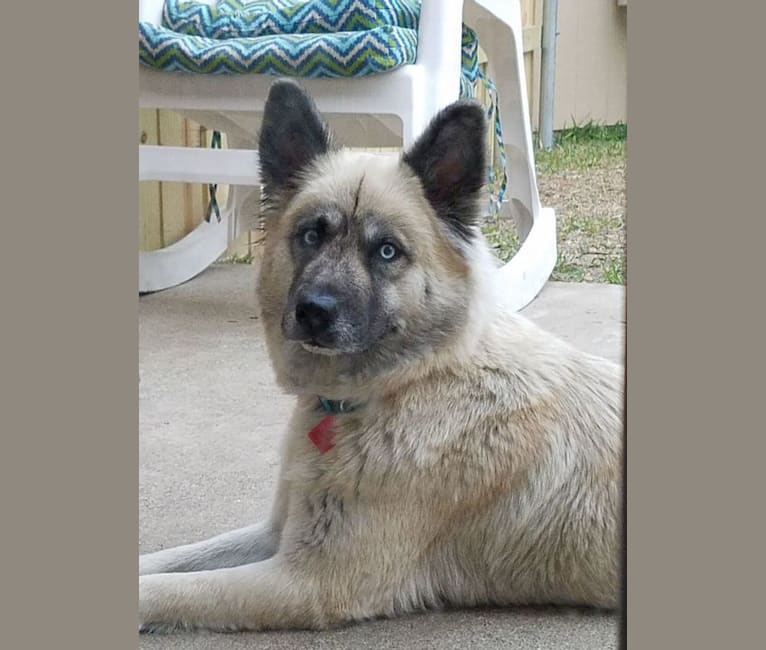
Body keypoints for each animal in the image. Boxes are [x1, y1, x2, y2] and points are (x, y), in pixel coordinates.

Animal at [141, 78, 628, 632]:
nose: (313, 312)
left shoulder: (305, 582)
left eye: (387, 251)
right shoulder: (276, 534)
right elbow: (170, 560)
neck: (407, 382)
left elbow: (167, 590)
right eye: (312, 234)